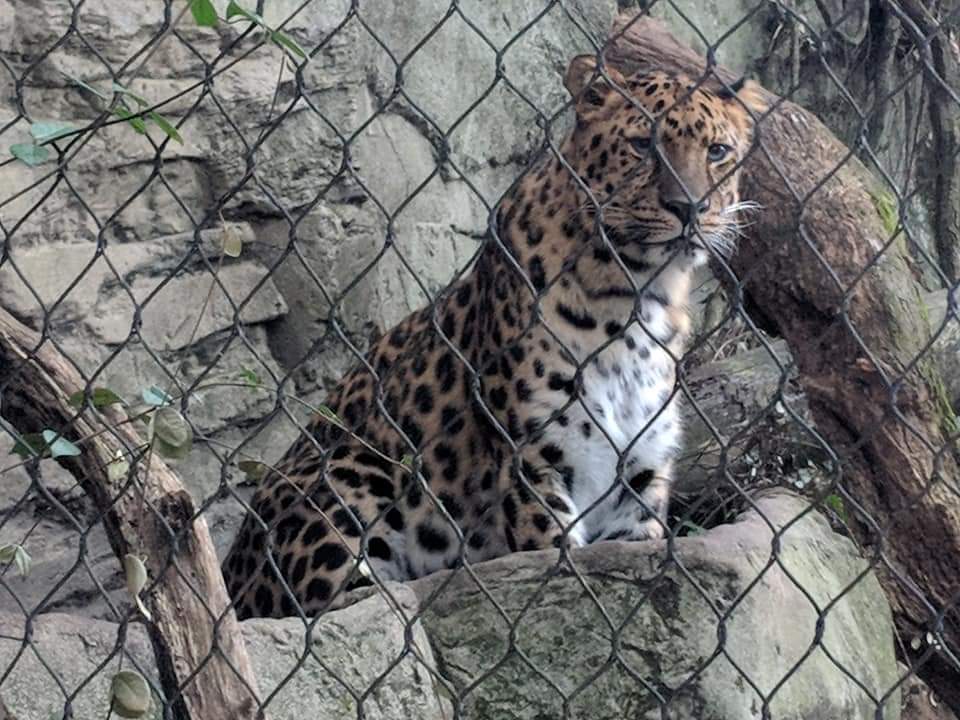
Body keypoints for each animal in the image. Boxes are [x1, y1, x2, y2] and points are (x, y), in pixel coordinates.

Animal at [222, 54, 764, 619]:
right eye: (642, 145)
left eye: (718, 152)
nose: (690, 207)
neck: (640, 293)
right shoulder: (533, 462)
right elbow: (560, 566)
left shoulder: (637, 482)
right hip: (352, 468)